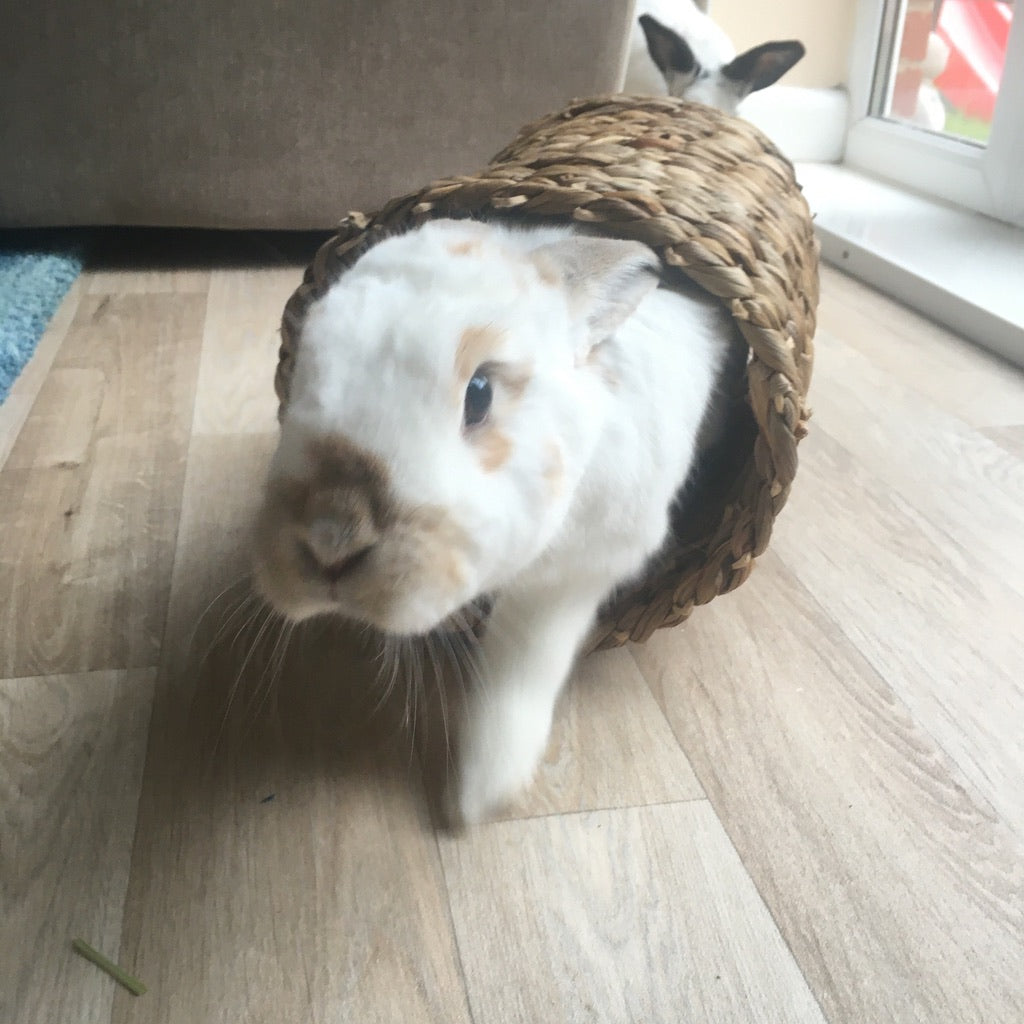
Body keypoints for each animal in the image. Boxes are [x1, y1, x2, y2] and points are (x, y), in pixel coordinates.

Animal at [254, 218, 737, 823]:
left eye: (479, 394)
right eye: (304, 370)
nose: (330, 540)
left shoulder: (580, 572)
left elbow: (521, 661)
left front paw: (481, 797)